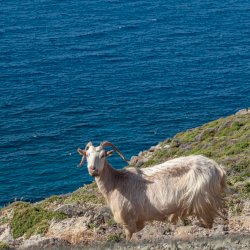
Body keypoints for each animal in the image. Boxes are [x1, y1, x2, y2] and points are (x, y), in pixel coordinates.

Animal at [77, 142, 227, 239]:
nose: (93, 169)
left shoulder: (128, 221)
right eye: (87, 155)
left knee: (208, 223)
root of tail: (218, 168)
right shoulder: (138, 221)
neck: (116, 183)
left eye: (103, 155)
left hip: (203, 202)